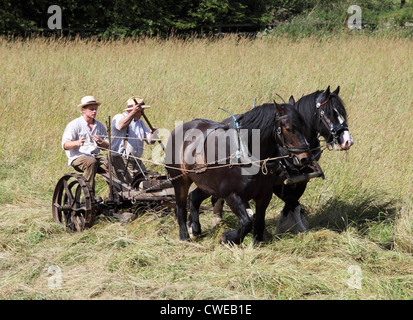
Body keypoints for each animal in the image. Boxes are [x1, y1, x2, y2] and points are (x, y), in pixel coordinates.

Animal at [164, 102, 312, 245]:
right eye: (288, 128)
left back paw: (195, 228)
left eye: (304, 126)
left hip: (208, 184)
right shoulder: (231, 195)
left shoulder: (264, 195)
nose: (305, 158)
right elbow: (246, 223)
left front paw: (256, 243)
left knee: (194, 197)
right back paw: (184, 236)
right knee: (180, 208)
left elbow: (259, 221)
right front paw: (227, 238)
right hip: (180, 181)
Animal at [201, 85, 352, 235]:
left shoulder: (302, 180)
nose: (347, 141)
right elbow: (293, 203)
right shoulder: (277, 184)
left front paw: (292, 226)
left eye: (343, 113)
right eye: (329, 113)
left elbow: (293, 204)